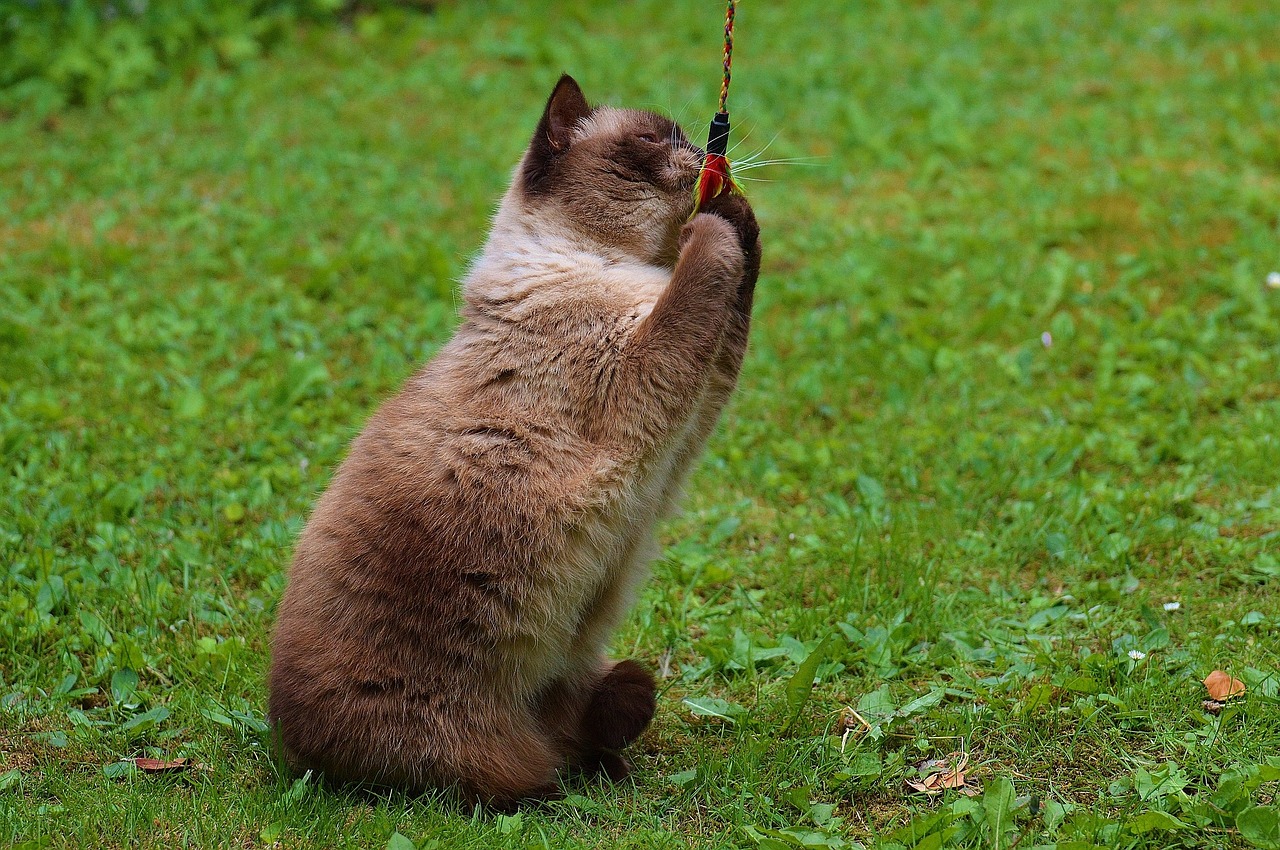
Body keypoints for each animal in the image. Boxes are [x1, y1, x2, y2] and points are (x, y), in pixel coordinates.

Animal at [263, 71, 752, 803]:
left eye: (686, 136)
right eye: (655, 137)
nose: (703, 153)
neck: (612, 264)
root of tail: (291, 747)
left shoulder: (692, 418)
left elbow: (734, 291)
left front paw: (737, 207)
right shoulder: (650, 373)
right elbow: (702, 279)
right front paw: (712, 222)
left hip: (588, 669)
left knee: (609, 711)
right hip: (483, 754)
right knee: (532, 772)